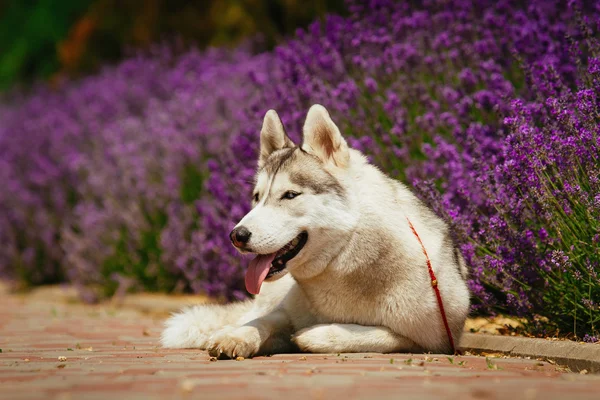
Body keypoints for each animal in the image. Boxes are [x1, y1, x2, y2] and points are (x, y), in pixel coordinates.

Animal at [162, 103, 472, 356]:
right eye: (256, 197)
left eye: (289, 195)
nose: (236, 236)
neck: (346, 261)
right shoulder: (283, 312)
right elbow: (261, 322)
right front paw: (236, 337)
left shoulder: (433, 340)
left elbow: (375, 335)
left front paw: (315, 336)